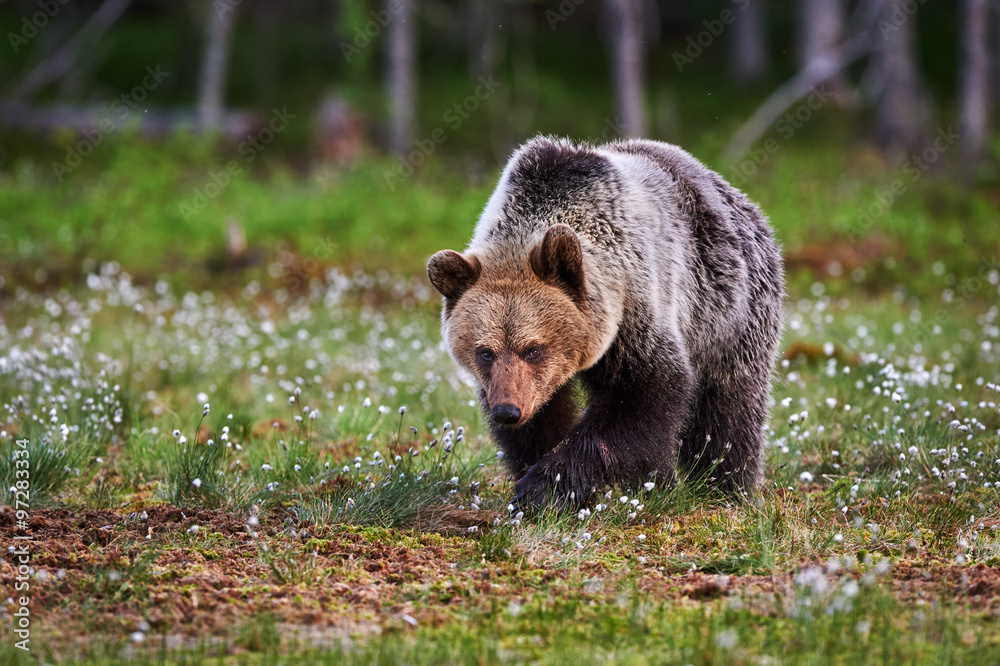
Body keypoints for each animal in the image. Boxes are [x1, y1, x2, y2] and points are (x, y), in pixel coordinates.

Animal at [427, 136, 784, 510]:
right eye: (485, 352)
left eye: (534, 349)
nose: (507, 411)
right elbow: (542, 422)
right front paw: (540, 476)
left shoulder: (635, 311)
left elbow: (641, 398)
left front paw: (543, 487)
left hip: (729, 311)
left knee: (728, 410)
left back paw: (727, 488)